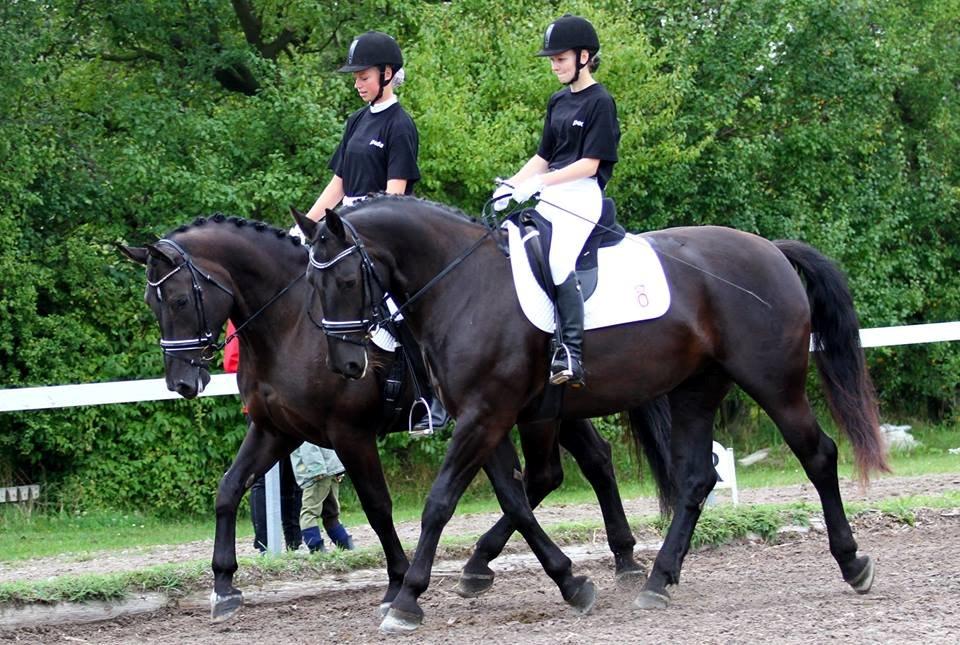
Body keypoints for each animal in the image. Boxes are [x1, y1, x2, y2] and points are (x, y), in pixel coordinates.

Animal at [118, 218, 668, 624]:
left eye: (180, 299)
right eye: (150, 303)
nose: (182, 382)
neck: (290, 325)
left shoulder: (348, 433)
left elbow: (377, 506)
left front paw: (397, 583)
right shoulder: (276, 430)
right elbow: (229, 489)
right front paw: (224, 585)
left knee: (553, 473)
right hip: (542, 409)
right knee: (583, 463)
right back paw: (616, 560)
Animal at [296, 195, 888, 628]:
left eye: (345, 281)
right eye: (311, 285)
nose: (346, 364)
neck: (462, 287)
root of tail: (771, 251)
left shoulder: (486, 413)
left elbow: (442, 502)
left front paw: (407, 600)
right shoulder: (494, 416)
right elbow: (517, 497)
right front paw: (565, 581)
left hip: (773, 383)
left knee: (818, 455)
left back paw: (853, 562)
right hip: (695, 390)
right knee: (696, 478)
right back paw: (657, 582)